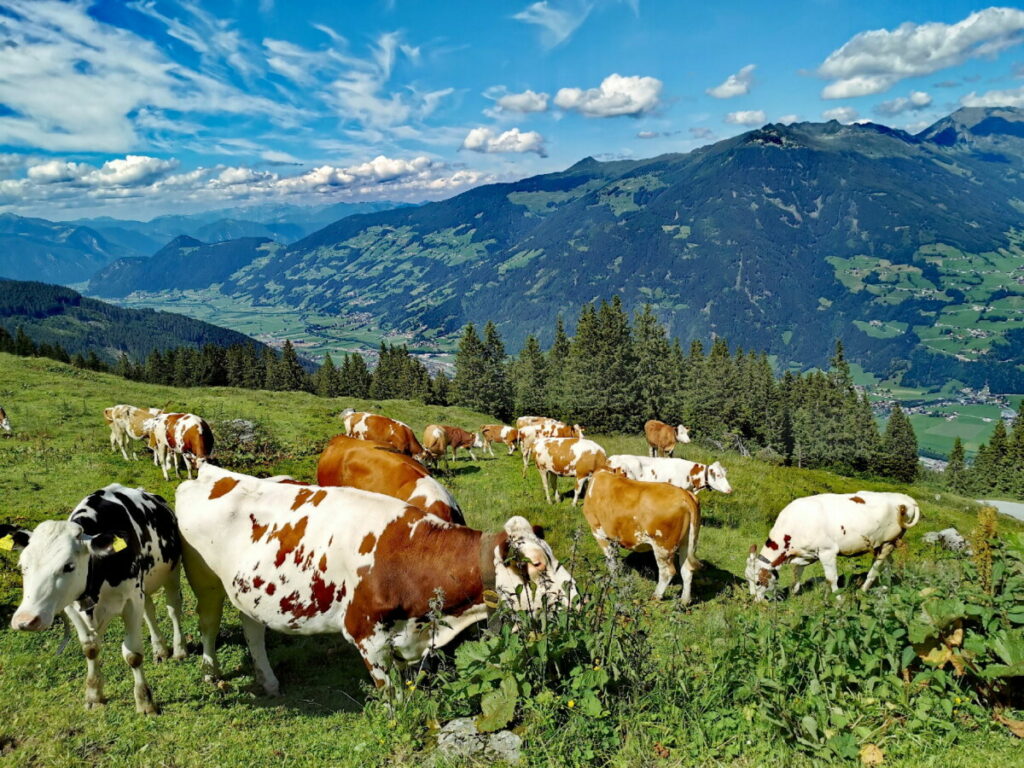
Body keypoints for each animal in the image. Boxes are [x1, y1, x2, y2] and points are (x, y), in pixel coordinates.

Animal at [176, 466, 577, 696]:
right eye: (536, 564)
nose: (577, 599)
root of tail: (209, 474)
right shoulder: (365, 633)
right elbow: (392, 696)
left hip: (250, 589)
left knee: (253, 629)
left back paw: (269, 682)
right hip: (204, 577)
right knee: (208, 623)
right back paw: (211, 676)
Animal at [585, 473, 704, 606]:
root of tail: (684, 494)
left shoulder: (598, 532)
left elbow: (611, 560)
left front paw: (613, 579)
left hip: (662, 545)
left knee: (667, 571)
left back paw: (656, 596)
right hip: (687, 542)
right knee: (687, 569)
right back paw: (684, 601)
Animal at [745, 493, 921, 602]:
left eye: (759, 582)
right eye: (747, 580)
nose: (755, 601)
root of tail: (906, 499)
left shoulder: (827, 552)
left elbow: (831, 578)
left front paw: (837, 599)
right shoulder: (804, 553)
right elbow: (797, 573)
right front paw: (794, 594)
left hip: (887, 543)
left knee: (876, 568)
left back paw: (863, 590)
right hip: (884, 544)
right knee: (889, 564)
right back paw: (885, 587)